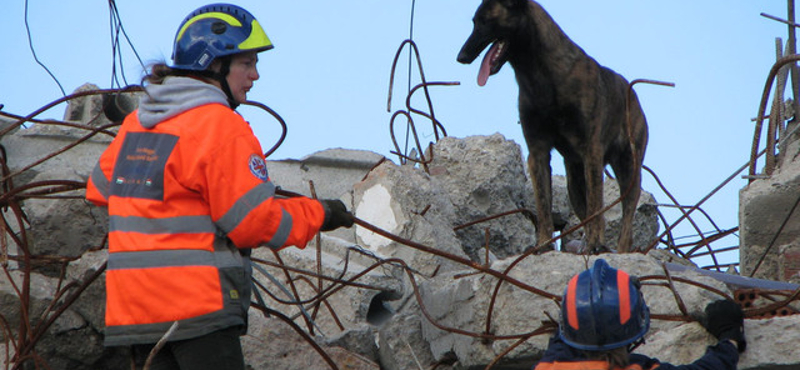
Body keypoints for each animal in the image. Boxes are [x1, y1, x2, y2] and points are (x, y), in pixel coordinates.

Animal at [456, 0, 648, 251]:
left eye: (485, 21)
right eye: (474, 22)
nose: (461, 57)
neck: (542, 78)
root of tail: (632, 95)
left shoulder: (592, 152)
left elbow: (596, 206)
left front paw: (595, 242)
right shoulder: (538, 153)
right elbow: (543, 205)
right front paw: (544, 244)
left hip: (628, 171)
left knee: (625, 218)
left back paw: (616, 248)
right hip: (574, 184)